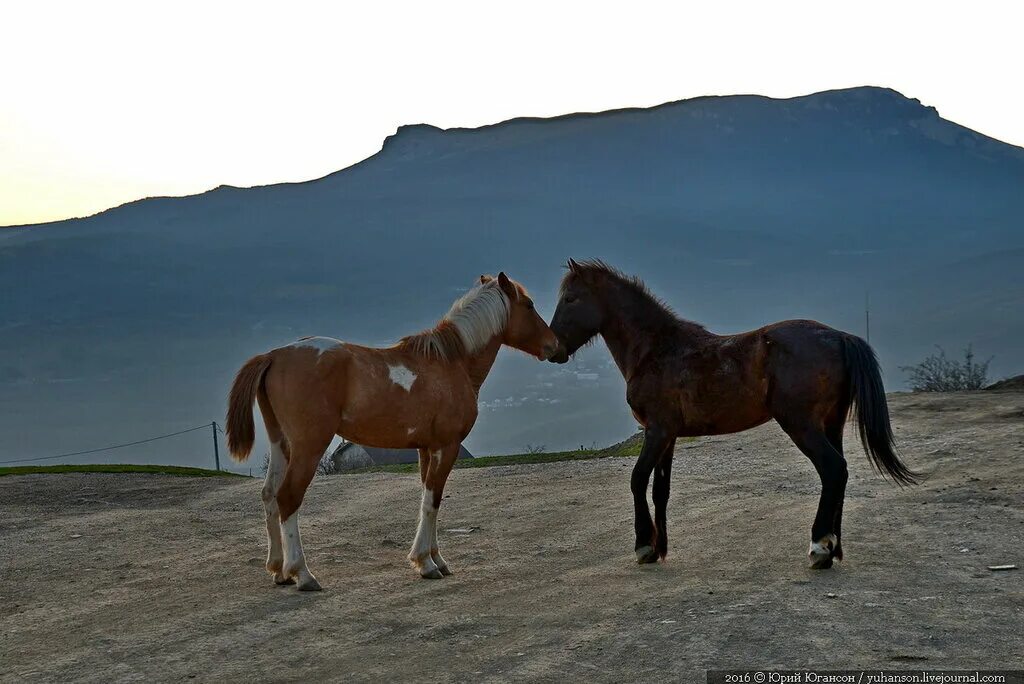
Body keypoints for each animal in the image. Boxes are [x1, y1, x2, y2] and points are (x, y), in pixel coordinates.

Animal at [227, 272, 561, 589]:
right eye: (528, 305)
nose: (555, 345)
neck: (451, 364)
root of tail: (274, 355)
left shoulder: (427, 449)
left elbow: (429, 500)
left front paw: (436, 560)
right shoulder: (446, 447)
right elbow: (432, 502)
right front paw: (425, 563)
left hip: (281, 444)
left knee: (269, 495)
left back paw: (279, 570)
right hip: (308, 446)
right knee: (288, 497)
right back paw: (302, 574)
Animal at [548, 259, 917, 569]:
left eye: (571, 299)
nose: (553, 349)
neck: (658, 351)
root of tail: (839, 336)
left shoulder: (656, 431)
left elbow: (638, 479)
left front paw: (644, 547)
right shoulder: (668, 436)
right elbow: (660, 490)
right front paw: (660, 548)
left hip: (802, 425)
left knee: (833, 470)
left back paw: (819, 548)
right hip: (832, 423)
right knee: (840, 472)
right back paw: (834, 549)